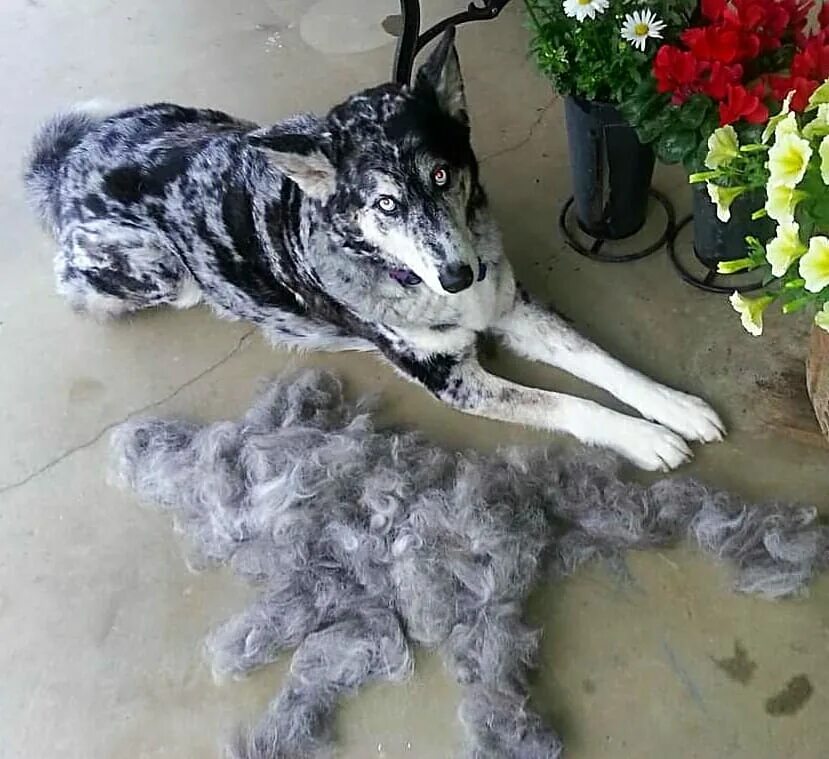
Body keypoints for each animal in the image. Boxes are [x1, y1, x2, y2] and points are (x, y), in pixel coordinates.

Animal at [24, 28, 724, 470]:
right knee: (78, 279)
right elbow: (565, 401)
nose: (460, 275)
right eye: (385, 204)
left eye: (441, 175)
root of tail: (68, 162)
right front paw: (643, 437)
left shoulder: (512, 308)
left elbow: (602, 362)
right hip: (158, 266)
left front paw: (673, 406)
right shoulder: (453, 380)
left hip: (216, 119)